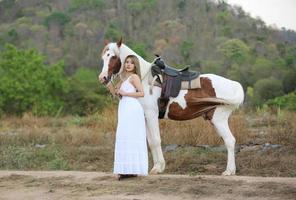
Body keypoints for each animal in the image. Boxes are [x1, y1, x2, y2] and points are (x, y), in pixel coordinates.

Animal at [98, 38, 244, 175]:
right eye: (104, 57)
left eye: (113, 57)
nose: (103, 78)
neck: (144, 79)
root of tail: (233, 85)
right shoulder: (145, 116)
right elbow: (151, 142)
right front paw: (157, 166)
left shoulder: (151, 115)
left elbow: (156, 140)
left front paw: (158, 168)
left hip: (219, 119)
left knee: (230, 141)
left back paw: (229, 171)